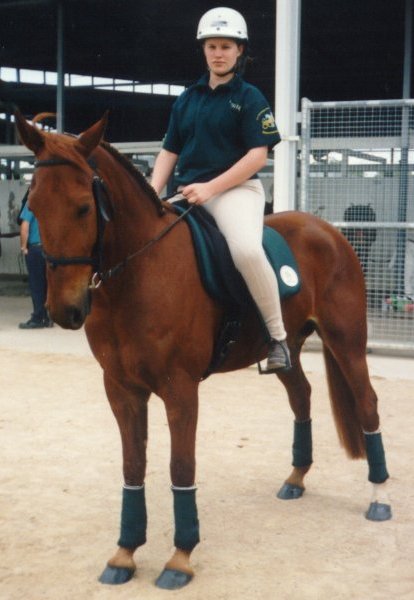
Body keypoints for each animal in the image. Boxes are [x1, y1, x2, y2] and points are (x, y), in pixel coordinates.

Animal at [15, 112, 392, 592]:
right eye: (35, 205)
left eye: (84, 207)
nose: (65, 310)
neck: (137, 273)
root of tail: (326, 231)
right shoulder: (121, 390)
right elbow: (133, 467)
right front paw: (124, 553)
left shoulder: (180, 390)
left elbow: (180, 468)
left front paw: (180, 558)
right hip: (286, 345)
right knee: (302, 397)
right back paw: (296, 478)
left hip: (347, 342)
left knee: (367, 404)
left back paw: (379, 496)